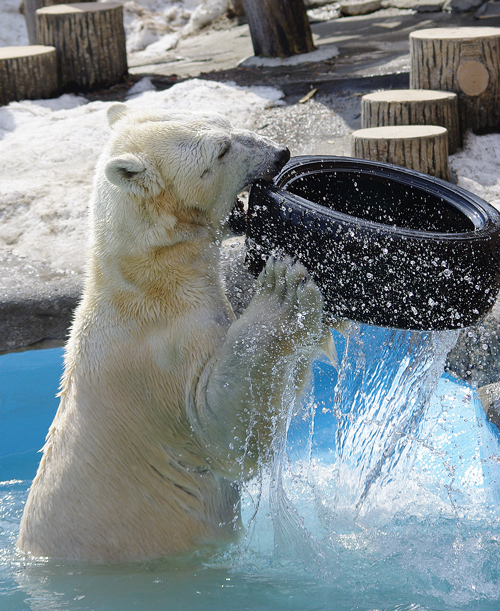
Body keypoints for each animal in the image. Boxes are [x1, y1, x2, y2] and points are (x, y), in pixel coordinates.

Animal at [16, 105, 324, 564]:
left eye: (227, 123)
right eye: (221, 149)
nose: (281, 153)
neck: (148, 282)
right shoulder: (163, 355)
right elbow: (220, 427)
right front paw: (282, 290)